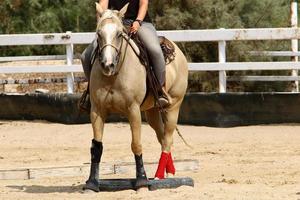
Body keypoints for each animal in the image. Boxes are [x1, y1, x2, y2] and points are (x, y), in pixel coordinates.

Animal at [84, 2, 188, 191]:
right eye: (98, 33)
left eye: (119, 34)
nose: (107, 65)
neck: (115, 75)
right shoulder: (97, 110)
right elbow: (96, 147)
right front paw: (92, 183)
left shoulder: (133, 110)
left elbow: (136, 144)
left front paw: (141, 181)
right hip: (152, 112)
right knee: (162, 137)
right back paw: (168, 172)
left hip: (174, 107)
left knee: (168, 139)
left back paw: (160, 175)